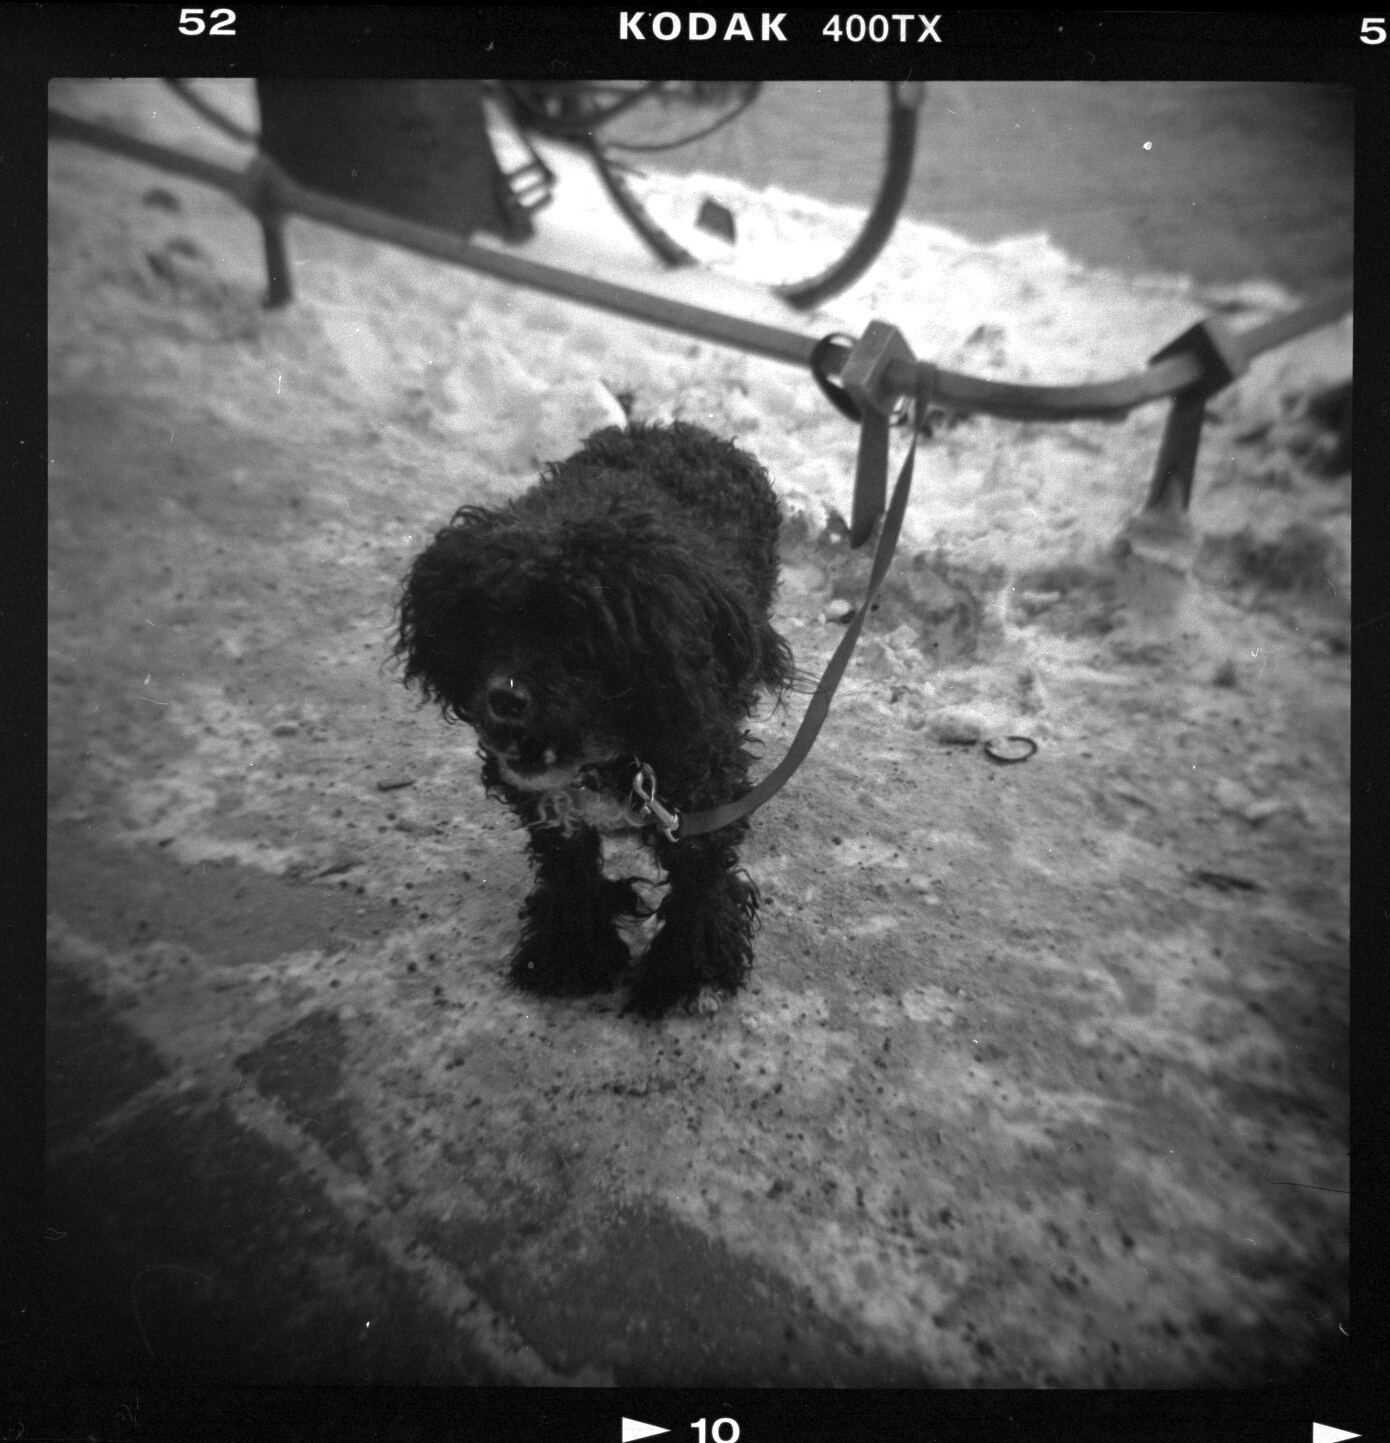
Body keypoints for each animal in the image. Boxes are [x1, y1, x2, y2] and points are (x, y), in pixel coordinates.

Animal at [396, 421, 795, 1017]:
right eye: (489, 619)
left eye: (585, 637)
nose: (504, 700)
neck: (608, 756)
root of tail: (682, 428)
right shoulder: (552, 812)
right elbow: (570, 870)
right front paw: (569, 952)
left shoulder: (701, 795)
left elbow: (700, 876)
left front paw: (688, 970)